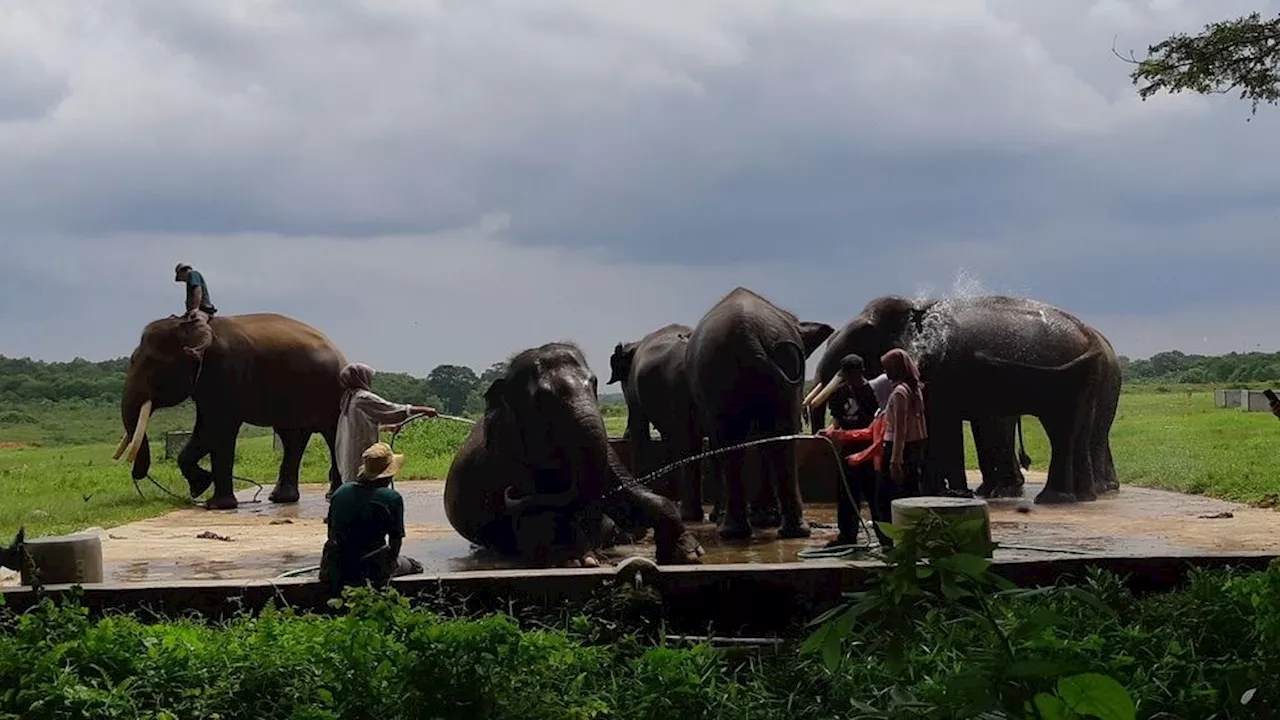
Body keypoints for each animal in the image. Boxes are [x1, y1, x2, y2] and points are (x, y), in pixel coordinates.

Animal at [112, 311, 345, 507]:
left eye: (151, 365)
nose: (136, 475)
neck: (192, 324)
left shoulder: (224, 372)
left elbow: (217, 429)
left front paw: (213, 503)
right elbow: (205, 431)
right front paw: (201, 488)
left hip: (332, 393)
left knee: (331, 435)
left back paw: (331, 495)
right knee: (292, 439)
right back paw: (281, 499)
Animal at [440, 340, 701, 566]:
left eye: (594, 383)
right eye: (542, 399)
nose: (509, 492)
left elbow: (632, 490)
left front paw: (687, 553)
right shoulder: (508, 450)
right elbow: (537, 514)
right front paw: (578, 560)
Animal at [686, 285, 834, 538]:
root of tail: (750, 338)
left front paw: (762, 518)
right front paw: (765, 519)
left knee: (734, 441)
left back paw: (734, 531)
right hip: (775, 365)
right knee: (781, 437)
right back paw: (790, 531)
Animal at [808, 294, 1121, 502]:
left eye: (864, 334)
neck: (919, 308)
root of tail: (1089, 335)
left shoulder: (940, 368)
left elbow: (942, 423)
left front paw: (945, 494)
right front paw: (951, 493)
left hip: (1072, 379)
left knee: (1064, 430)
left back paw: (1056, 498)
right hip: (1084, 380)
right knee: (1076, 431)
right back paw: (1082, 496)